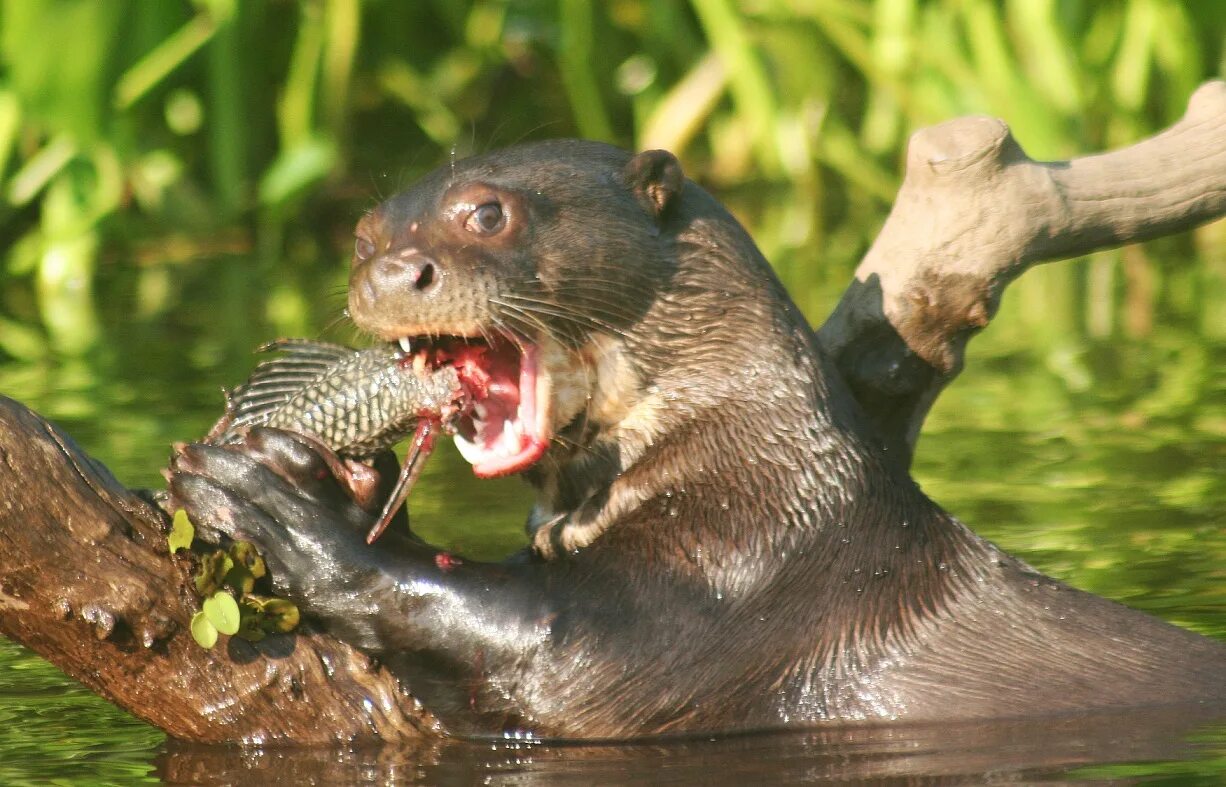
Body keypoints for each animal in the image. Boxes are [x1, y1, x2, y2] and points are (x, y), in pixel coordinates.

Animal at [170, 139, 1226, 735]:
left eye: (487, 212)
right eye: (360, 234)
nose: (393, 272)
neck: (756, 459)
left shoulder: (756, 572)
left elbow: (553, 650)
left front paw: (291, 503)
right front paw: (334, 477)